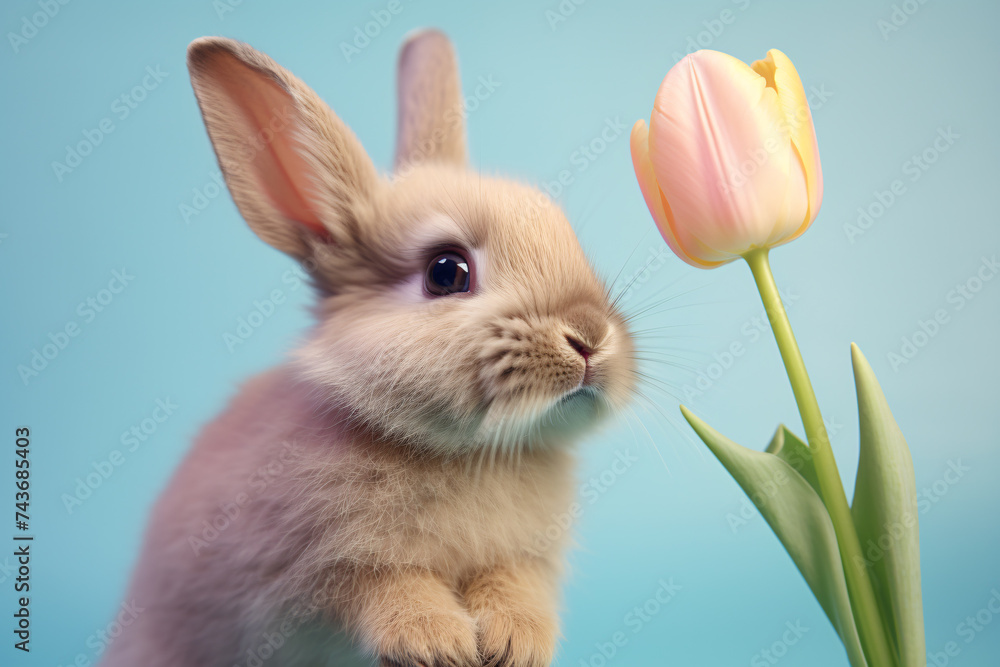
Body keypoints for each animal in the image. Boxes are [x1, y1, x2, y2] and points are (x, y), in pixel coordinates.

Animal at [100, 29, 635, 667]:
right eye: (446, 272)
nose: (590, 337)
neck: (459, 451)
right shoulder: (325, 575)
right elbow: (390, 589)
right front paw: (439, 644)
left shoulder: (522, 561)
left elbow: (513, 586)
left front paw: (514, 643)